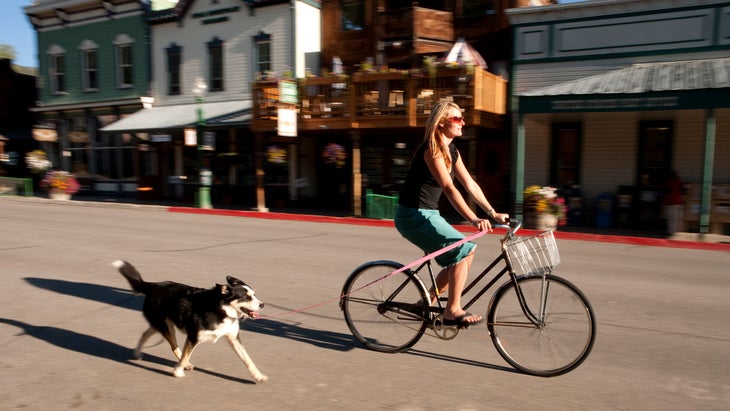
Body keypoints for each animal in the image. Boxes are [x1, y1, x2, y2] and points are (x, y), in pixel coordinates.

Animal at [109, 260, 266, 384]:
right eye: (246, 297)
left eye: (254, 295)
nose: (262, 305)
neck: (221, 309)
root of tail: (153, 285)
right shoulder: (193, 337)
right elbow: (185, 354)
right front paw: (177, 371)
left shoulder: (233, 338)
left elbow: (247, 359)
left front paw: (258, 376)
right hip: (165, 326)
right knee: (174, 346)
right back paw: (181, 364)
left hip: (161, 324)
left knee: (145, 334)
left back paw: (137, 353)